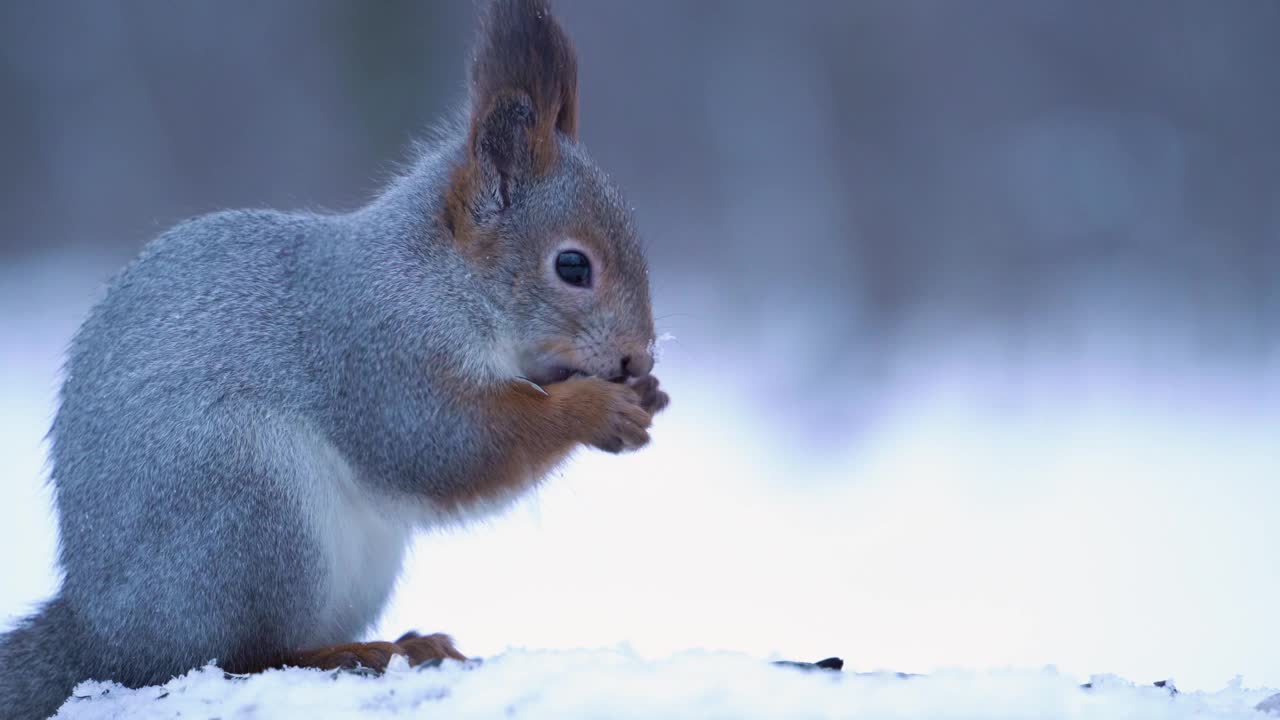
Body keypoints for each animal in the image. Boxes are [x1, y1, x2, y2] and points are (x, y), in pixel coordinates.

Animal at [0, 1, 675, 712]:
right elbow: (452, 445)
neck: (441, 279)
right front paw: (596, 409)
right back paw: (355, 653)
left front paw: (648, 394)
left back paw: (407, 643)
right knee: (236, 656)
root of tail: (98, 632)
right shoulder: (378, 354)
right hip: (245, 504)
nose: (635, 358)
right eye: (572, 266)